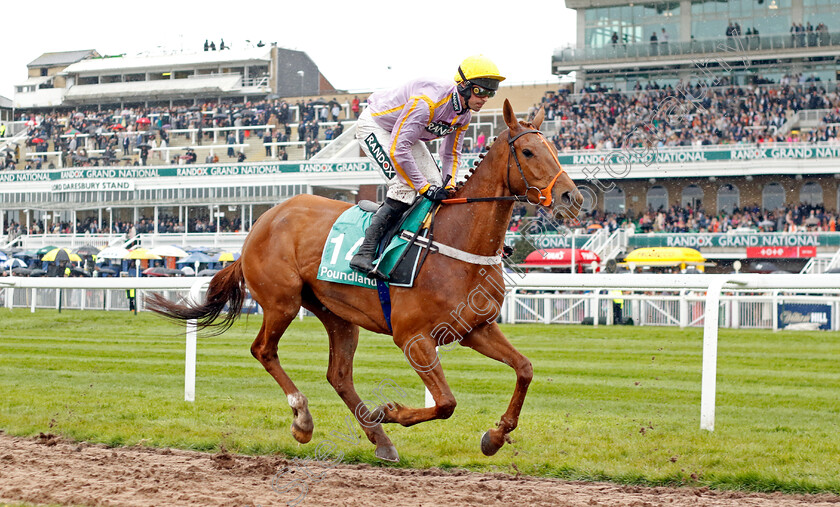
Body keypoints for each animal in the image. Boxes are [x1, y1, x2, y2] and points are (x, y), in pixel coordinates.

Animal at [146, 99, 584, 464]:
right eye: (528, 152)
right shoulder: (413, 337)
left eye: (554, 149)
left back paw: (379, 440)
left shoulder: (476, 328)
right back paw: (303, 419)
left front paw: (495, 435)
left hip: (337, 314)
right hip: (282, 301)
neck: (457, 243)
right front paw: (390, 412)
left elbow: (524, 368)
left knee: (338, 375)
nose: (571, 197)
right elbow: (446, 403)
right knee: (264, 351)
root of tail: (262, 221)